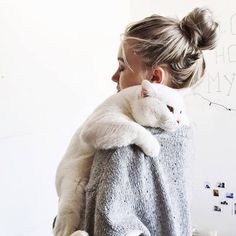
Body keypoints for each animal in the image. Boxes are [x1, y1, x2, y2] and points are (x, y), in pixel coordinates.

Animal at [53, 79, 190, 236]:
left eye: (181, 111)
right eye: (170, 108)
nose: (179, 121)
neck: (128, 103)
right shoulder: (95, 126)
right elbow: (133, 127)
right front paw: (153, 146)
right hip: (71, 195)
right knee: (61, 230)